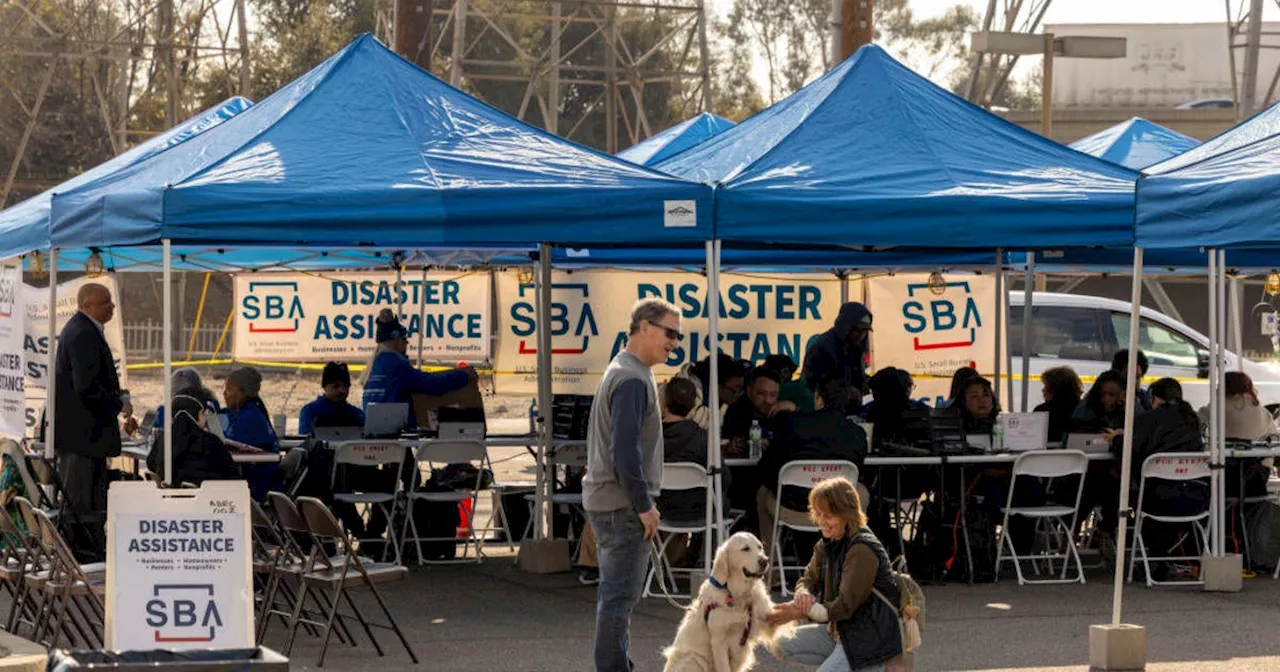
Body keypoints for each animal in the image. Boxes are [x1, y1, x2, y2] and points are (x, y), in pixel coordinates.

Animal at [665, 532, 783, 665]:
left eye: (760, 547)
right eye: (745, 549)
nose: (765, 561)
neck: (737, 594)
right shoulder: (718, 640)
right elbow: (724, 666)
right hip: (693, 658)